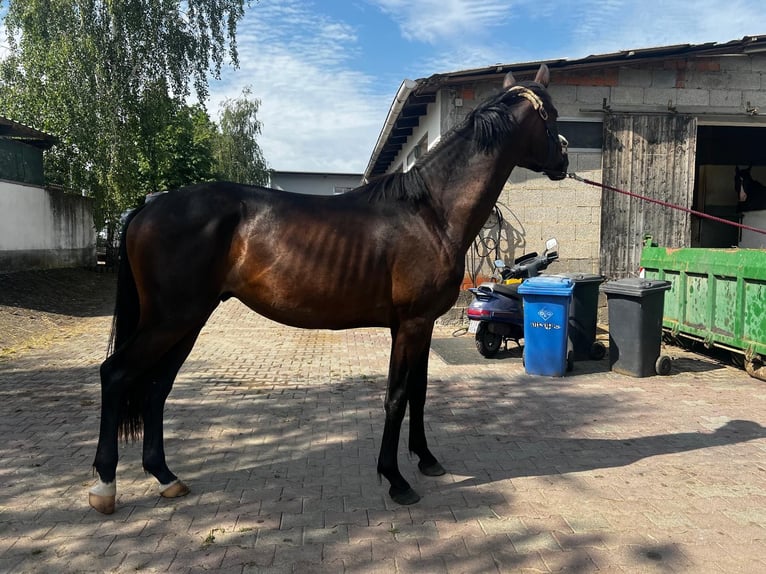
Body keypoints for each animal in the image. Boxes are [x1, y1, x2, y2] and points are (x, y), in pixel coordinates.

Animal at [91, 65, 568, 516]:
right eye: (553, 115)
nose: (564, 160)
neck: (430, 212)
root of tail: (149, 207)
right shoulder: (411, 324)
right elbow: (397, 396)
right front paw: (395, 479)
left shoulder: (421, 325)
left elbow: (418, 392)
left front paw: (426, 459)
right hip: (170, 320)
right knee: (115, 374)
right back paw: (105, 487)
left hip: (186, 322)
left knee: (156, 387)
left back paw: (166, 477)